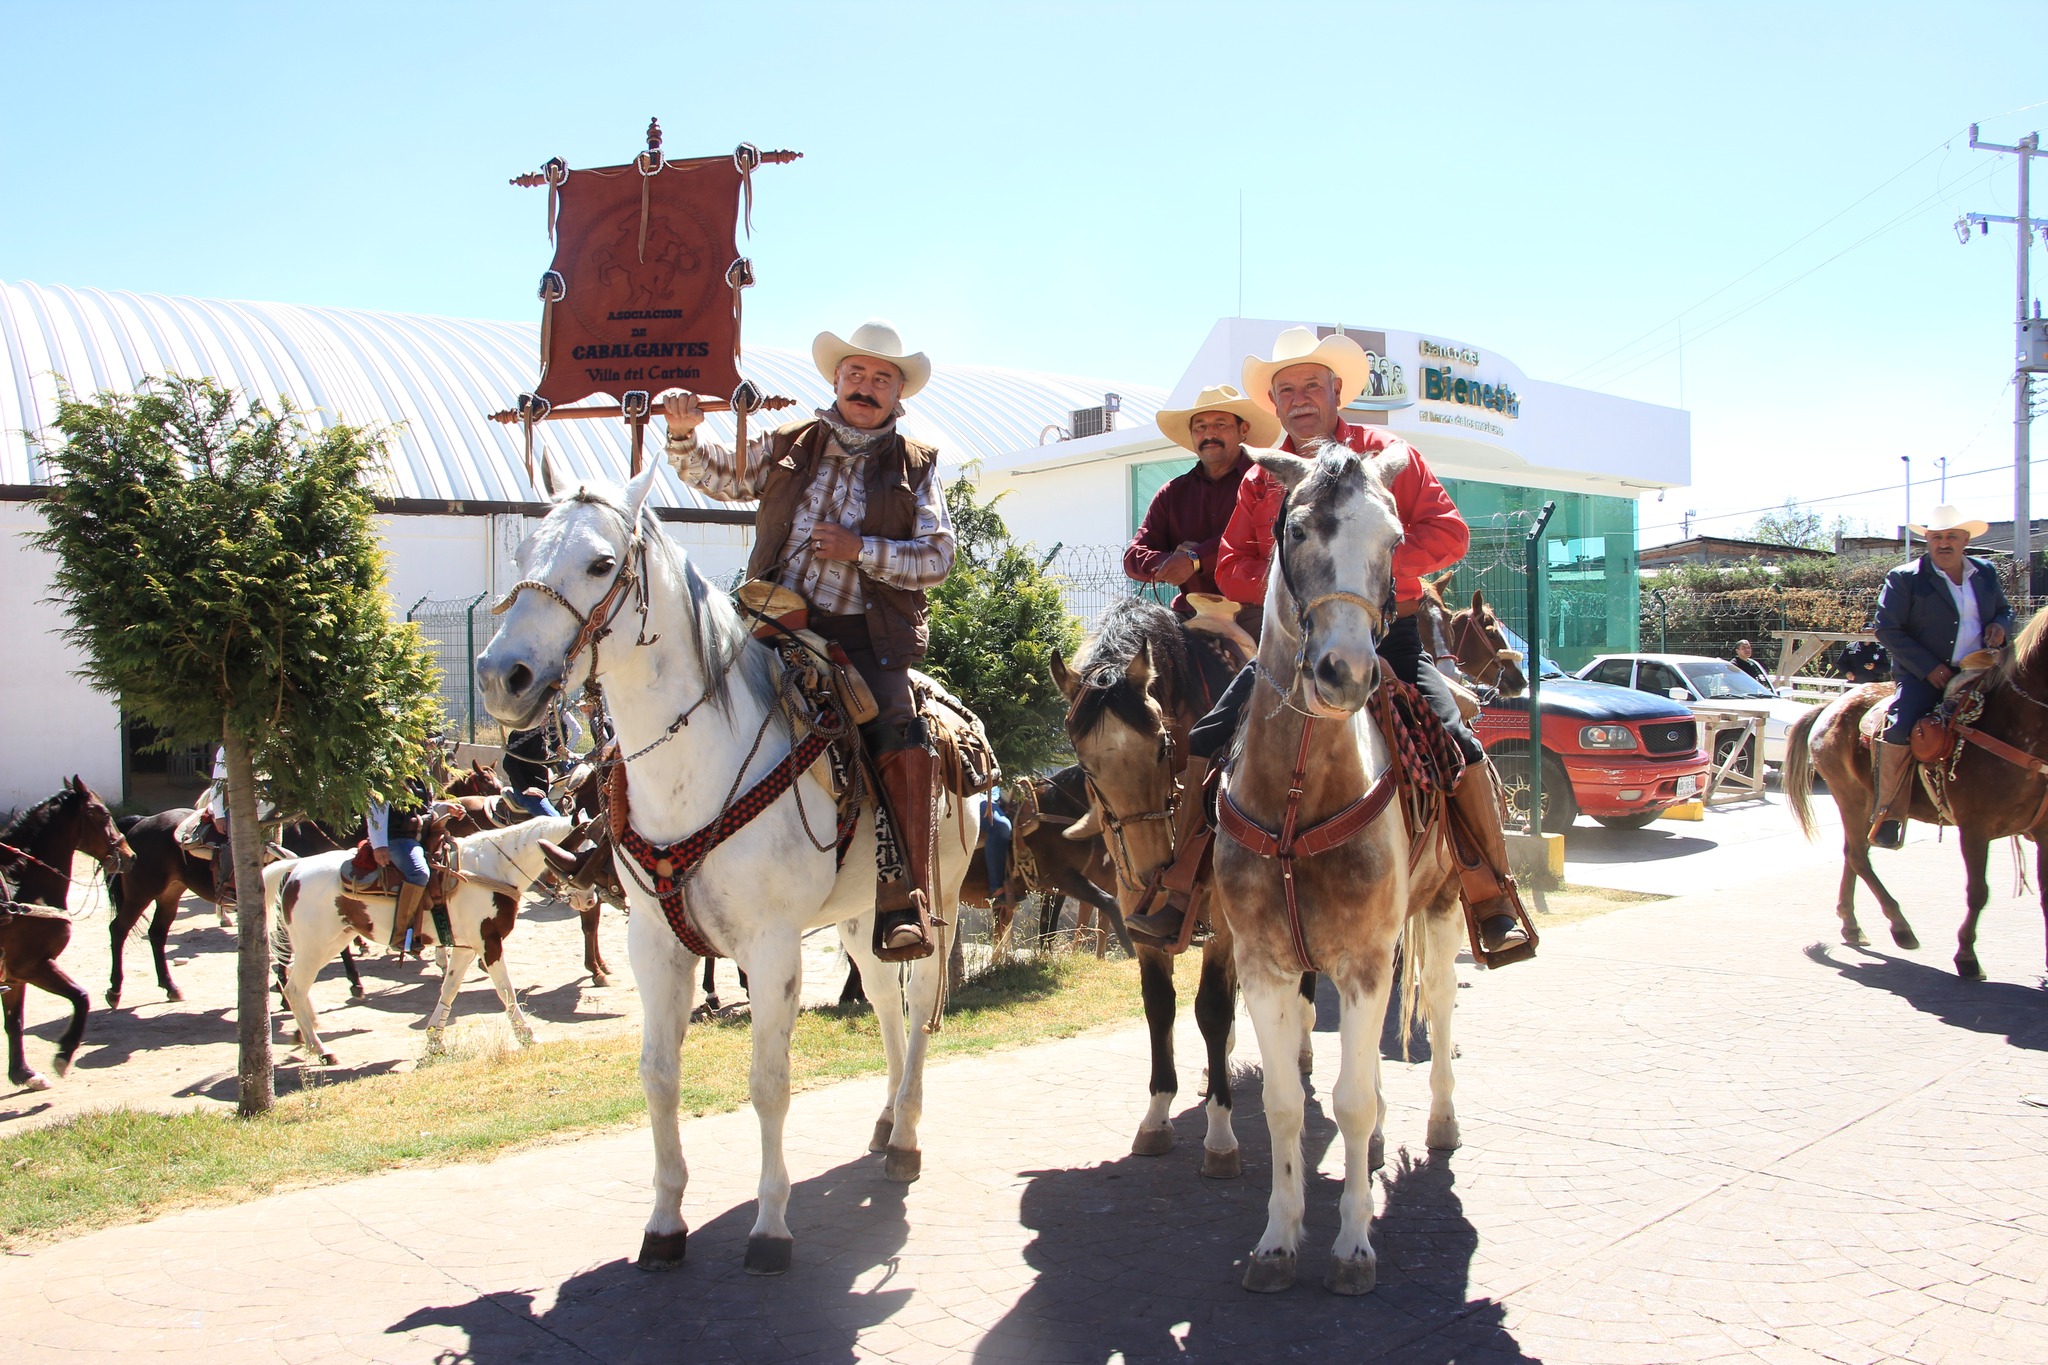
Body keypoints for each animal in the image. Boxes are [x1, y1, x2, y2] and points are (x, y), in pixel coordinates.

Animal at [260, 818, 577, 1064]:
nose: (583, 901)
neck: (494, 868)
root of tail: (295, 869)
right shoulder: (489, 943)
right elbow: (506, 991)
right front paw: (528, 1036)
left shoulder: (466, 947)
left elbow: (449, 989)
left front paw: (435, 1042)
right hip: (315, 946)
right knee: (295, 989)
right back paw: (321, 1050)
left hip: (332, 941)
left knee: (296, 984)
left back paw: (307, 1034)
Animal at [473, 458, 983, 1285]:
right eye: (521, 556)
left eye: (601, 563)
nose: (501, 677)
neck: (696, 764)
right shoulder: (655, 944)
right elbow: (658, 1076)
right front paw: (664, 1221)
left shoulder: (770, 949)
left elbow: (769, 1083)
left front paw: (771, 1224)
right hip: (861, 918)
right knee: (885, 1002)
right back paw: (883, 1120)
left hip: (932, 902)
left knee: (922, 1001)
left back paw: (905, 1135)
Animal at [1204, 446, 1466, 1293]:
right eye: (1296, 527)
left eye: (1395, 537)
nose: (1345, 671)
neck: (1297, 791)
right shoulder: (1264, 964)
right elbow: (1288, 1103)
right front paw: (1278, 1238)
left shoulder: (1362, 960)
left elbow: (1348, 1102)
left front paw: (1353, 1243)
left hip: (1443, 908)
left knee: (1440, 1009)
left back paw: (1442, 1122)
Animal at [1785, 609, 2048, 982]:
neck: (2016, 727)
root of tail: (1831, 707)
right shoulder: (1975, 829)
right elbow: (1978, 892)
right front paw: (1966, 956)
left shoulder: (2044, 832)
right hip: (1851, 797)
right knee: (1858, 856)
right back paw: (1900, 926)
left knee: (1855, 853)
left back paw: (1851, 924)